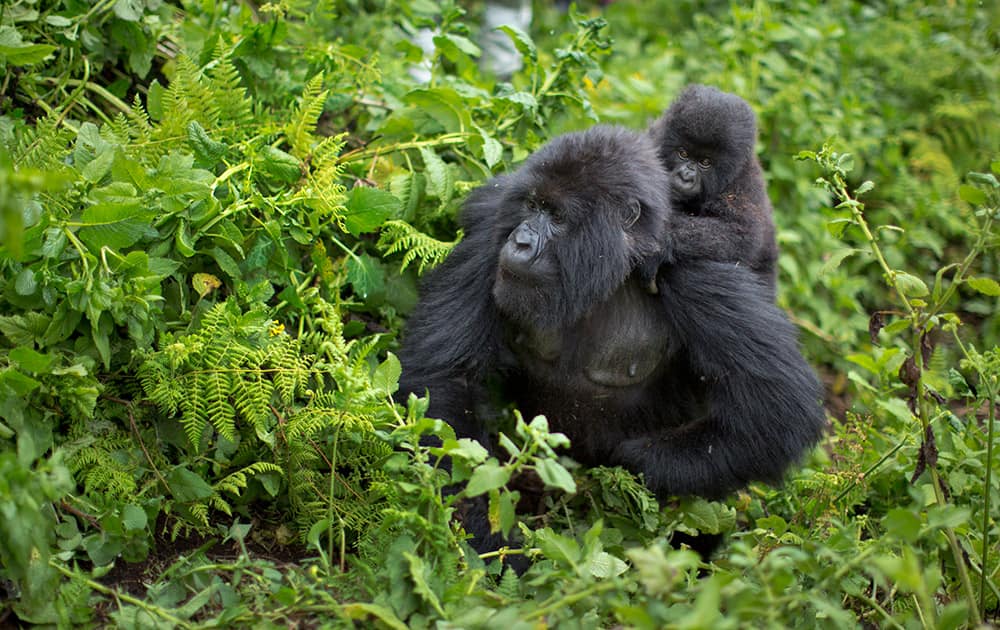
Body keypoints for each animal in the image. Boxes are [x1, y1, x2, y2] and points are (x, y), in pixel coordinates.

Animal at [394, 124, 824, 564]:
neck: (611, 264)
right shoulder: (490, 228)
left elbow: (776, 412)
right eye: (532, 205)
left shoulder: (694, 269)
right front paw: (484, 540)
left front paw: (630, 465)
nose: (520, 242)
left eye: (557, 217)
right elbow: (447, 383)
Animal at [644, 84, 776, 296]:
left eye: (705, 162)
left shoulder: (744, 185)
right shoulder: (656, 138)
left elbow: (738, 234)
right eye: (683, 153)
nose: (686, 176)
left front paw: (662, 241)